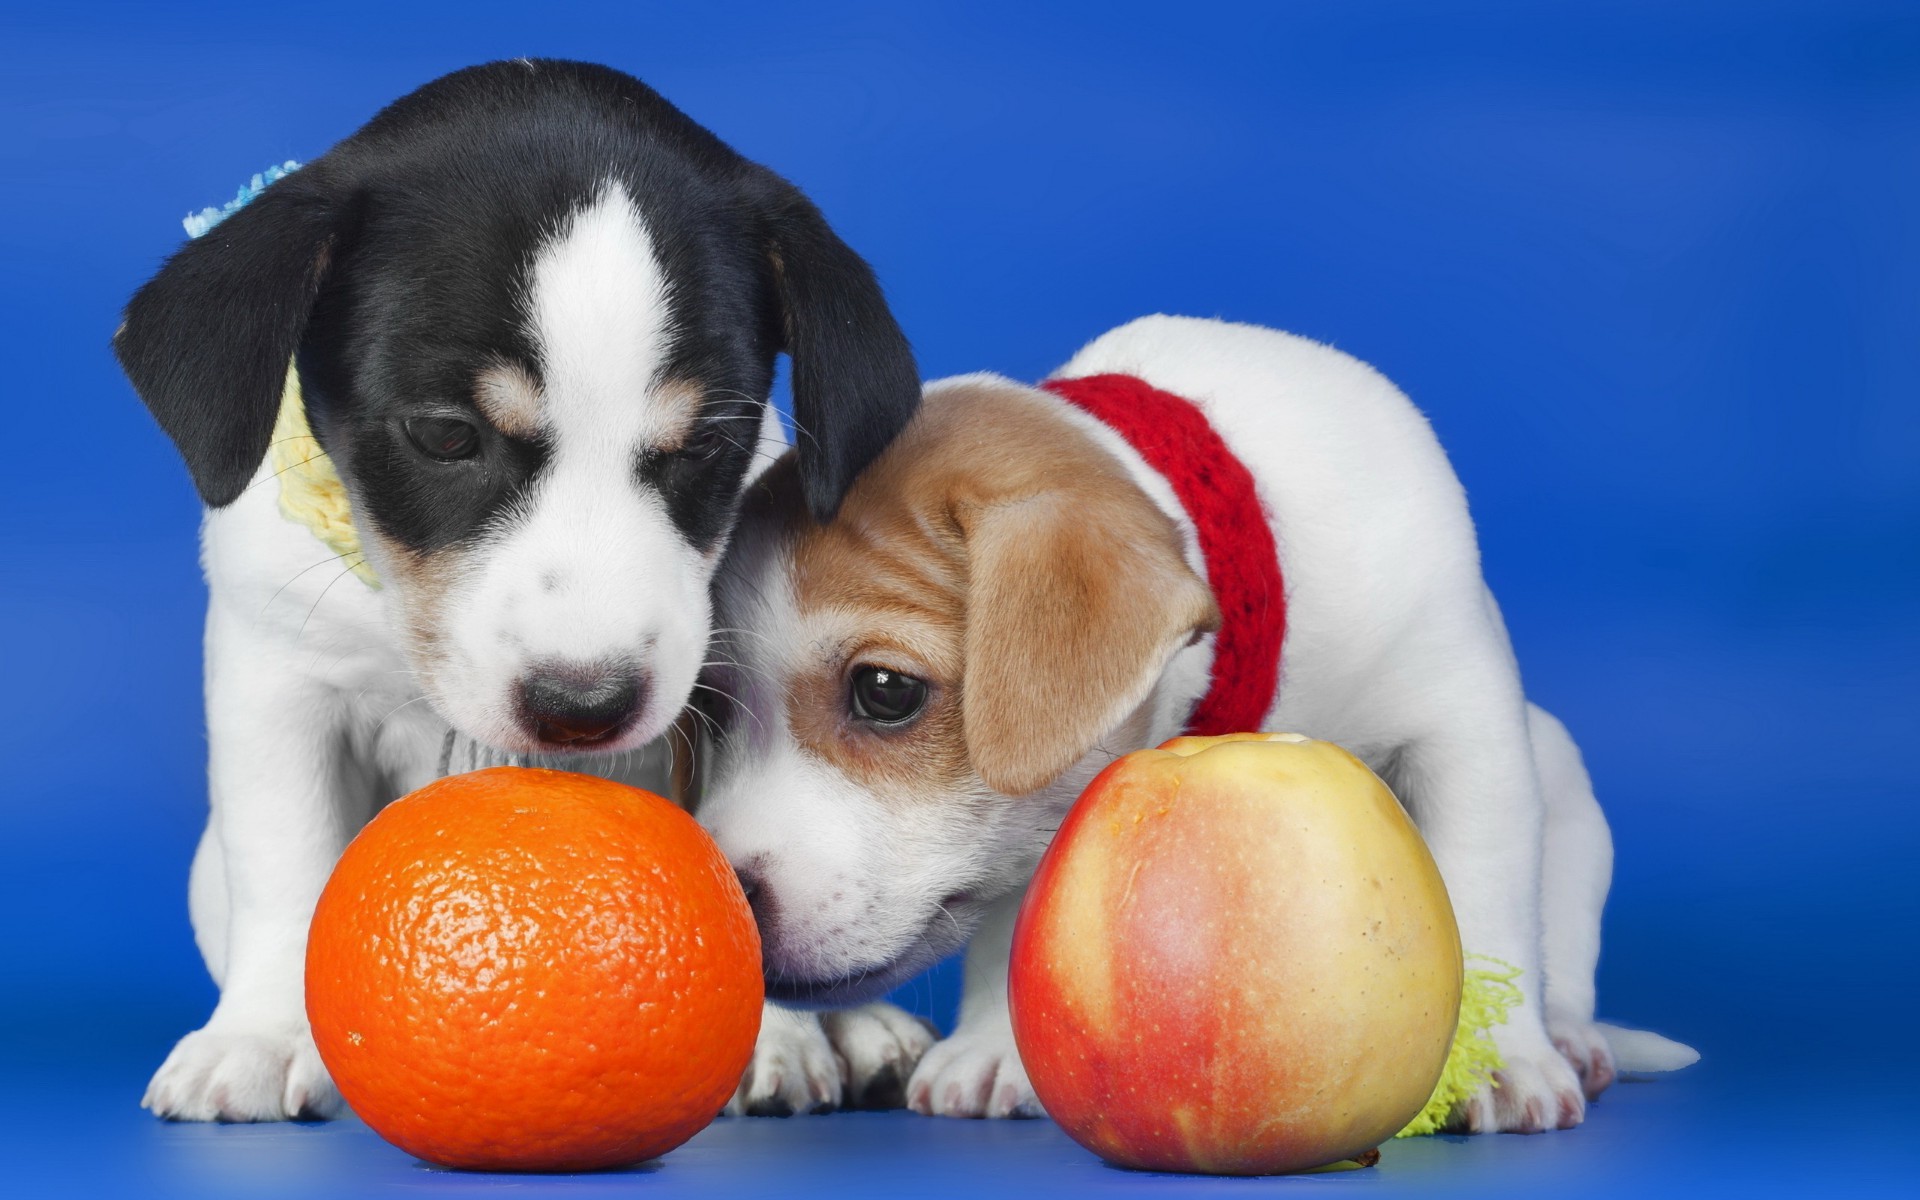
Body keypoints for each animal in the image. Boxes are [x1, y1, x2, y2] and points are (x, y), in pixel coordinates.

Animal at [118, 60, 921, 1121]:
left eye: (707, 444)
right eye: (445, 435)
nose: (584, 706)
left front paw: (770, 1036)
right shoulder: (278, 683)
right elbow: (285, 860)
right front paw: (261, 1035)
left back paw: (861, 1027)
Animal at [695, 311, 1697, 1128]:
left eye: (885, 691)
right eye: (709, 710)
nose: (732, 897)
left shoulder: (1465, 724)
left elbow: (1487, 891)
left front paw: (1497, 1061)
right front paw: (994, 1043)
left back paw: (1569, 1037)